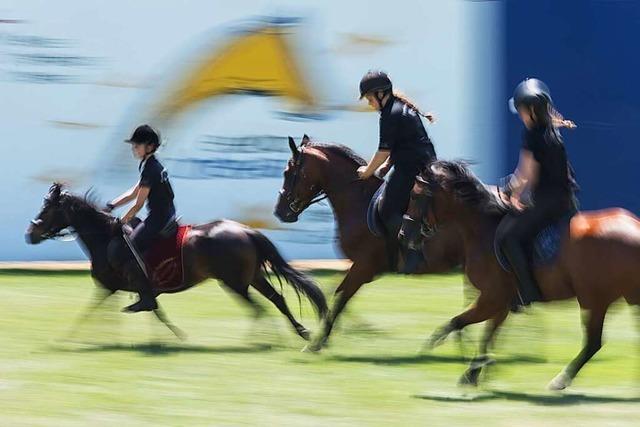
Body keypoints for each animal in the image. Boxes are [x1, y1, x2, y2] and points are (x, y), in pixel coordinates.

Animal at [25, 184, 328, 342]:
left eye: (47, 209)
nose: (30, 234)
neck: (104, 238)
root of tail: (247, 231)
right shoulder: (110, 288)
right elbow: (130, 311)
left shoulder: (120, 287)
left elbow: (141, 308)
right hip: (252, 277)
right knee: (276, 300)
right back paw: (299, 333)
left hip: (234, 282)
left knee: (259, 308)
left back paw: (264, 339)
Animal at [272, 136, 462, 352]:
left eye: (287, 172)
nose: (279, 211)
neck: (358, 201)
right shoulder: (362, 268)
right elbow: (333, 291)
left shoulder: (364, 267)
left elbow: (340, 297)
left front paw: (318, 342)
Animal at [402, 161, 640, 392]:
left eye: (414, 195)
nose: (404, 234)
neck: (483, 229)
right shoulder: (501, 303)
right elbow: (487, 335)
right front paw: (475, 371)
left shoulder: (491, 298)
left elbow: (457, 323)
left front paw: (460, 360)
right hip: (625, 298)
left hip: (594, 299)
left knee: (593, 343)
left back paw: (560, 381)